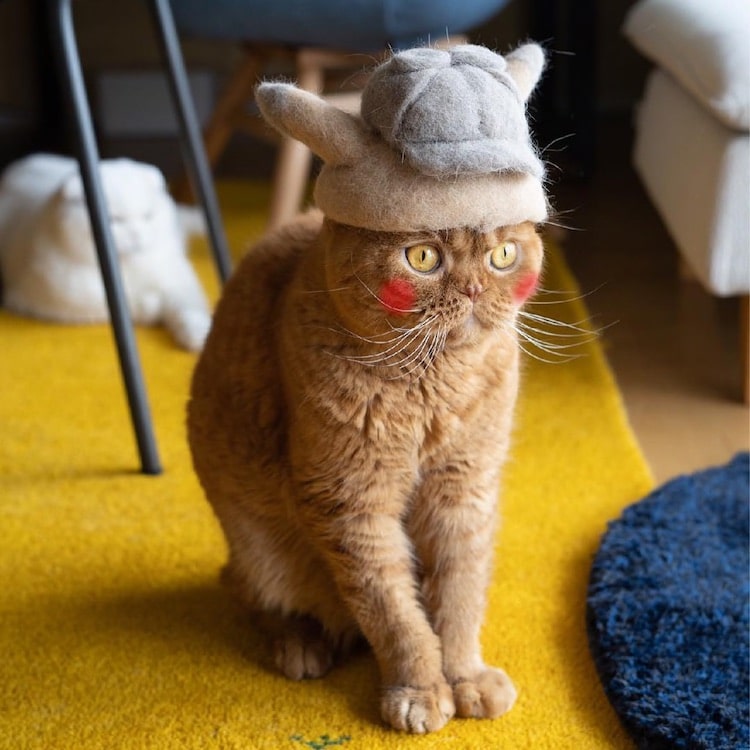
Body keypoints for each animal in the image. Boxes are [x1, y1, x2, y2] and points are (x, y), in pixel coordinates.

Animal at [188, 42, 548, 736]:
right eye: (424, 258)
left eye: (503, 255)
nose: (471, 290)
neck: (432, 388)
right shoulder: (351, 503)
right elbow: (394, 612)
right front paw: (420, 689)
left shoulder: (464, 491)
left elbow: (458, 596)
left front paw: (464, 676)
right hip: (258, 544)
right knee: (257, 596)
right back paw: (302, 642)